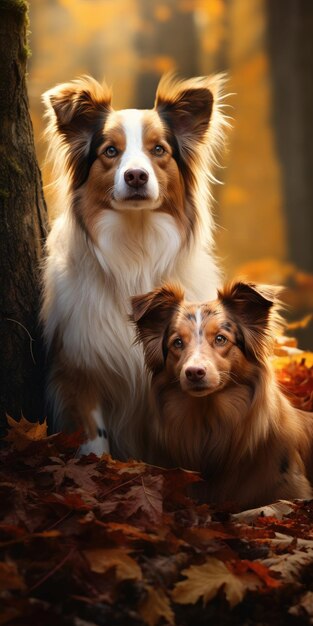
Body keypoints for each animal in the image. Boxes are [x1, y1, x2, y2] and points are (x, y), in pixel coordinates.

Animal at [41, 73, 227, 456]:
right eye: (110, 151)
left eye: (159, 150)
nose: (137, 176)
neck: (136, 247)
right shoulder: (79, 366)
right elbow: (94, 436)